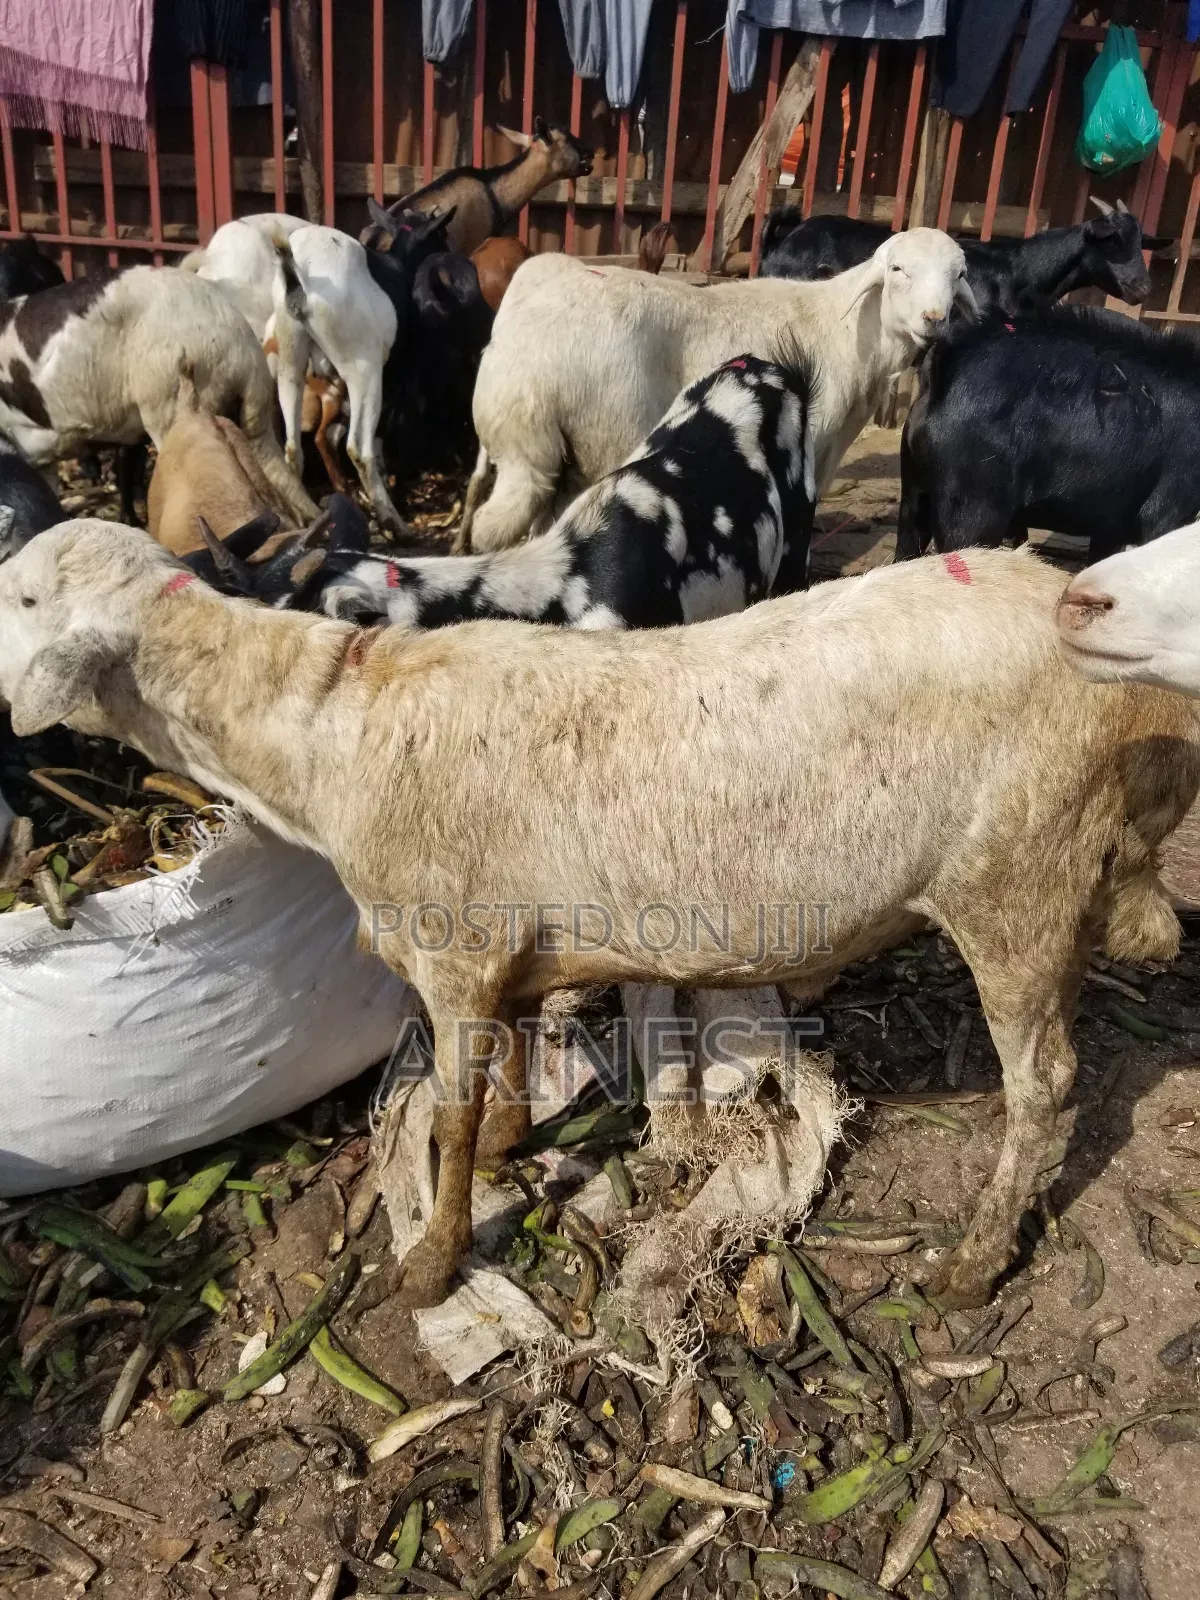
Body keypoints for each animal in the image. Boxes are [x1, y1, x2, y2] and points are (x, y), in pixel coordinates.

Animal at [461, 227, 975, 553]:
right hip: (580, 437)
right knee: (496, 528)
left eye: (960, 275)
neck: (851, 329)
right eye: (897, 269)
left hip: (555, 450)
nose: (935, 319)